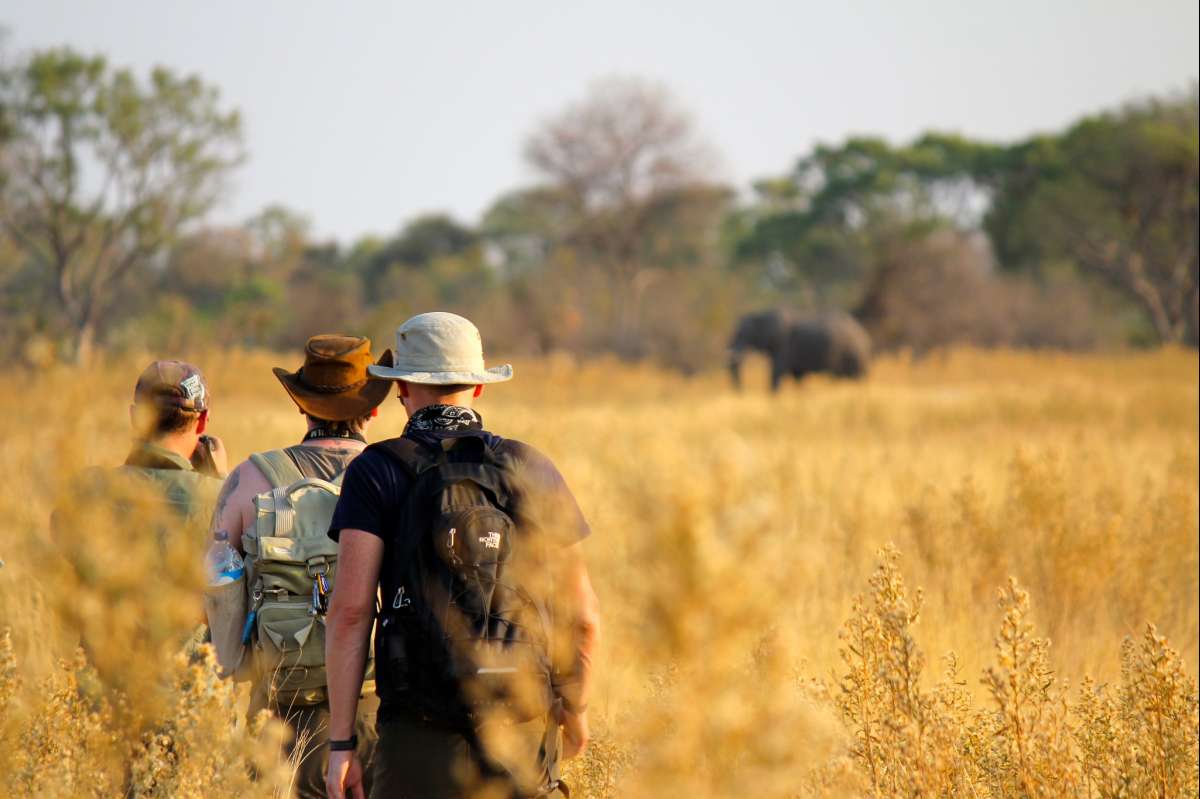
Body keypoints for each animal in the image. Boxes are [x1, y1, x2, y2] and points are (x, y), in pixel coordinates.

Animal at [724, 307, 868, 388]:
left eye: (742, 334)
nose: (741, 392)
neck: (761, 314)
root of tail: (862, 333)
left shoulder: (782, 343)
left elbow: (776, 373)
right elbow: (798, 378)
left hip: (850, 353)